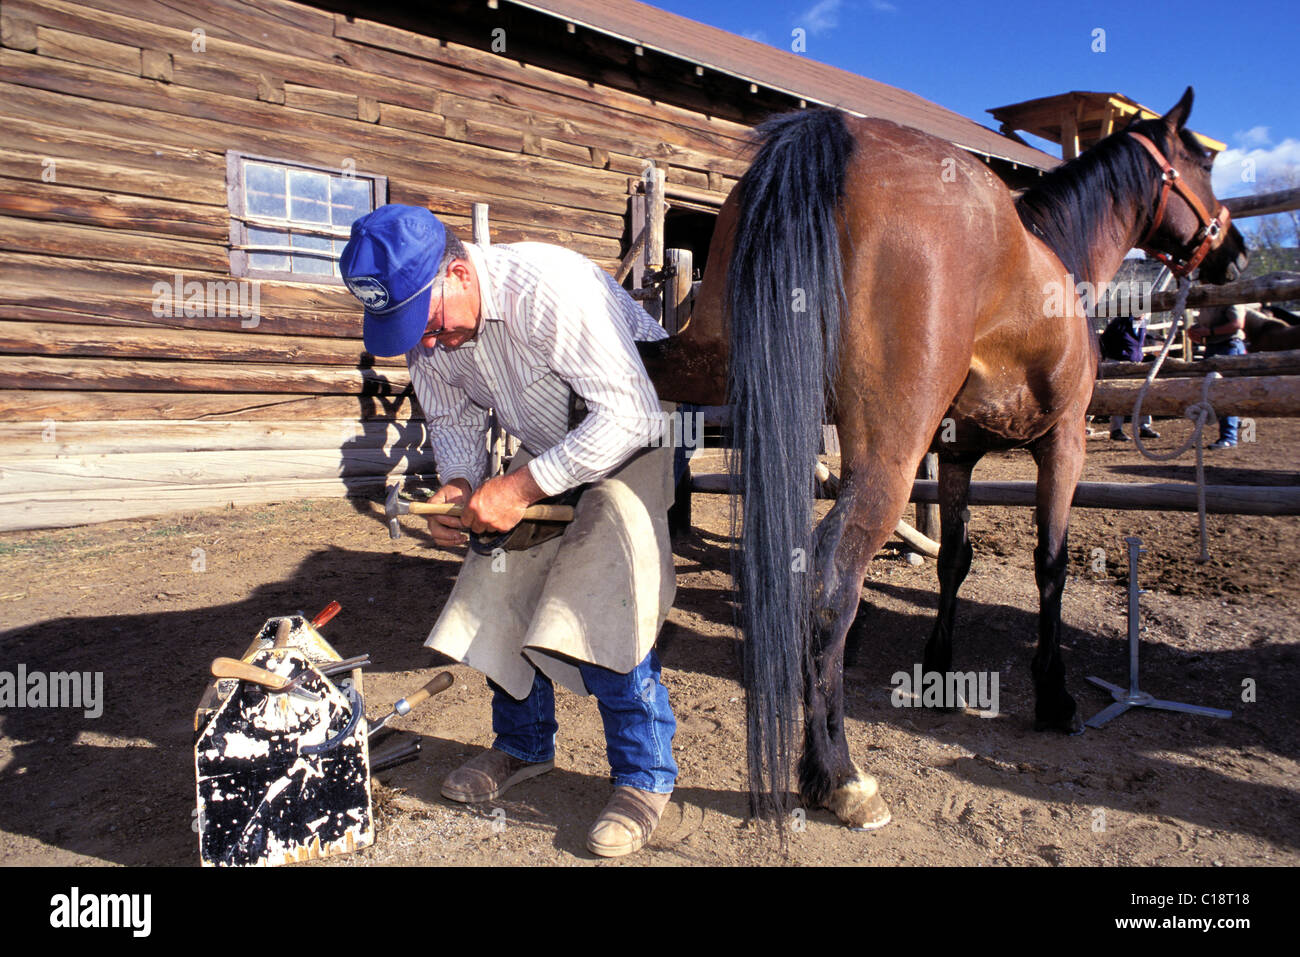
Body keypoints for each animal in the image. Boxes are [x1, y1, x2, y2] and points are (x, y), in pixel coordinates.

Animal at [639, 85, 1248, 832]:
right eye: (1201, 165)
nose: (1234, 252)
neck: (1059, 261)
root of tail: (833, 137)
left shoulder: (957, 456)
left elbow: (953, 560)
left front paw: (936, 671)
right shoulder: (1064, 443)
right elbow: (1052, 564)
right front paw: (1054, 696)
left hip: (700, 364)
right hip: (886, 457)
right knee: (828, 584)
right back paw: (839, 776)